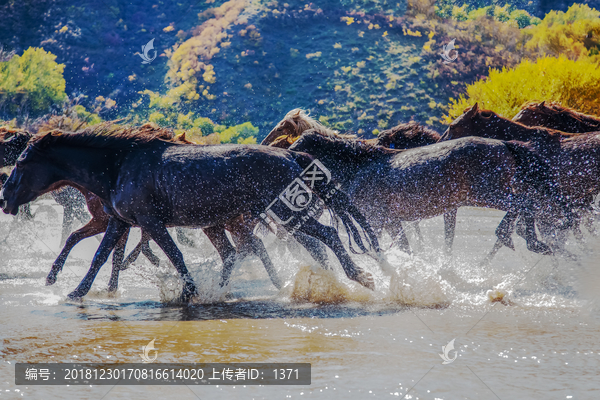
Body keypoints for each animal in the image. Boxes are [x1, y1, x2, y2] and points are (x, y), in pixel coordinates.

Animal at [1, 128, 380, 300]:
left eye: (21, 162)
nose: (4, 199)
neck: (120, 164)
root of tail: (290, 156)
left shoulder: (151, 223)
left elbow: (175, 255)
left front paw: (189, 292)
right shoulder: (121, 222)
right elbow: (100, 256)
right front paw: (75, 292)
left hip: (283, 213)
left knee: (326, 236)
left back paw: (361, 277)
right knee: (244, 252)